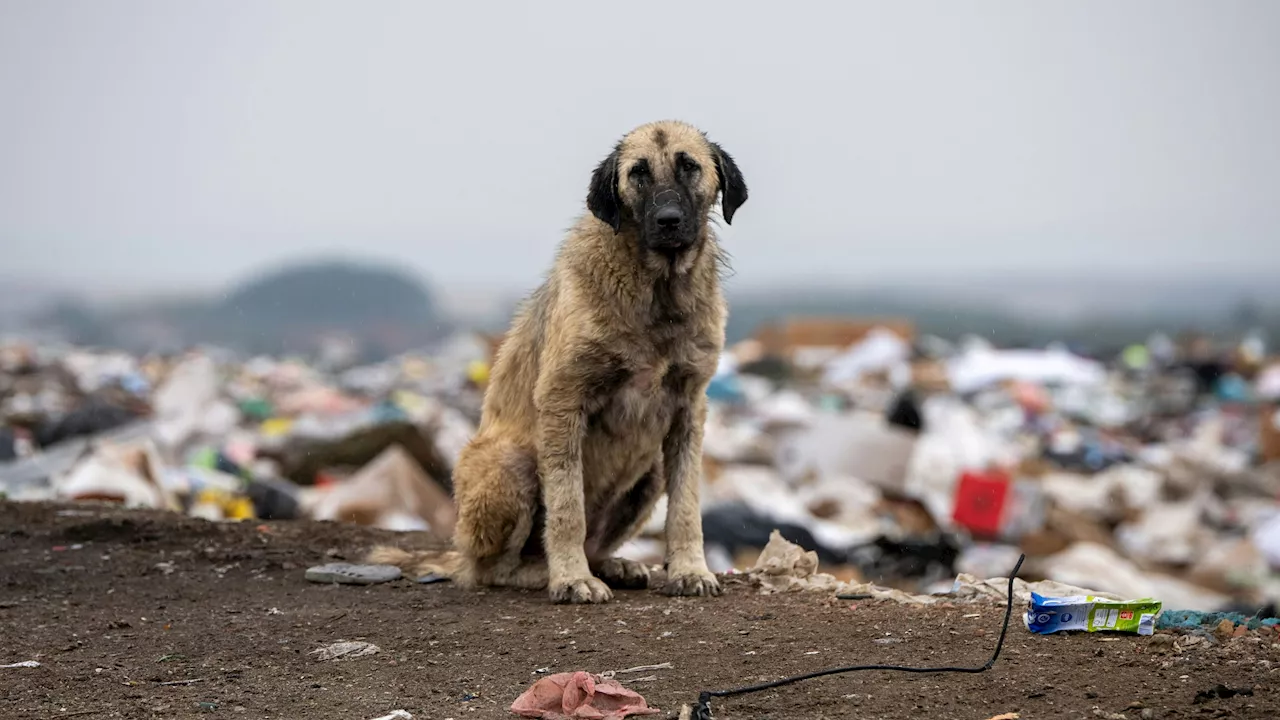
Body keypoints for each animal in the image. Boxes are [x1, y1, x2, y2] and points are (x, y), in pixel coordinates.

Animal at [371, 120, 747, 602]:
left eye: (689, 166)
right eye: (638, 173)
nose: (668, 221)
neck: (656, 289)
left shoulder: (688, 410)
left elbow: (686, 506)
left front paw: (689, 569)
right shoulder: (563, 401)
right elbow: (567, 506)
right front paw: (570, 577)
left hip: (649, 473)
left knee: (598, 539)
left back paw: (611, 565)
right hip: (512, 464)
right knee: (492, 568)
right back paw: (544, 571)